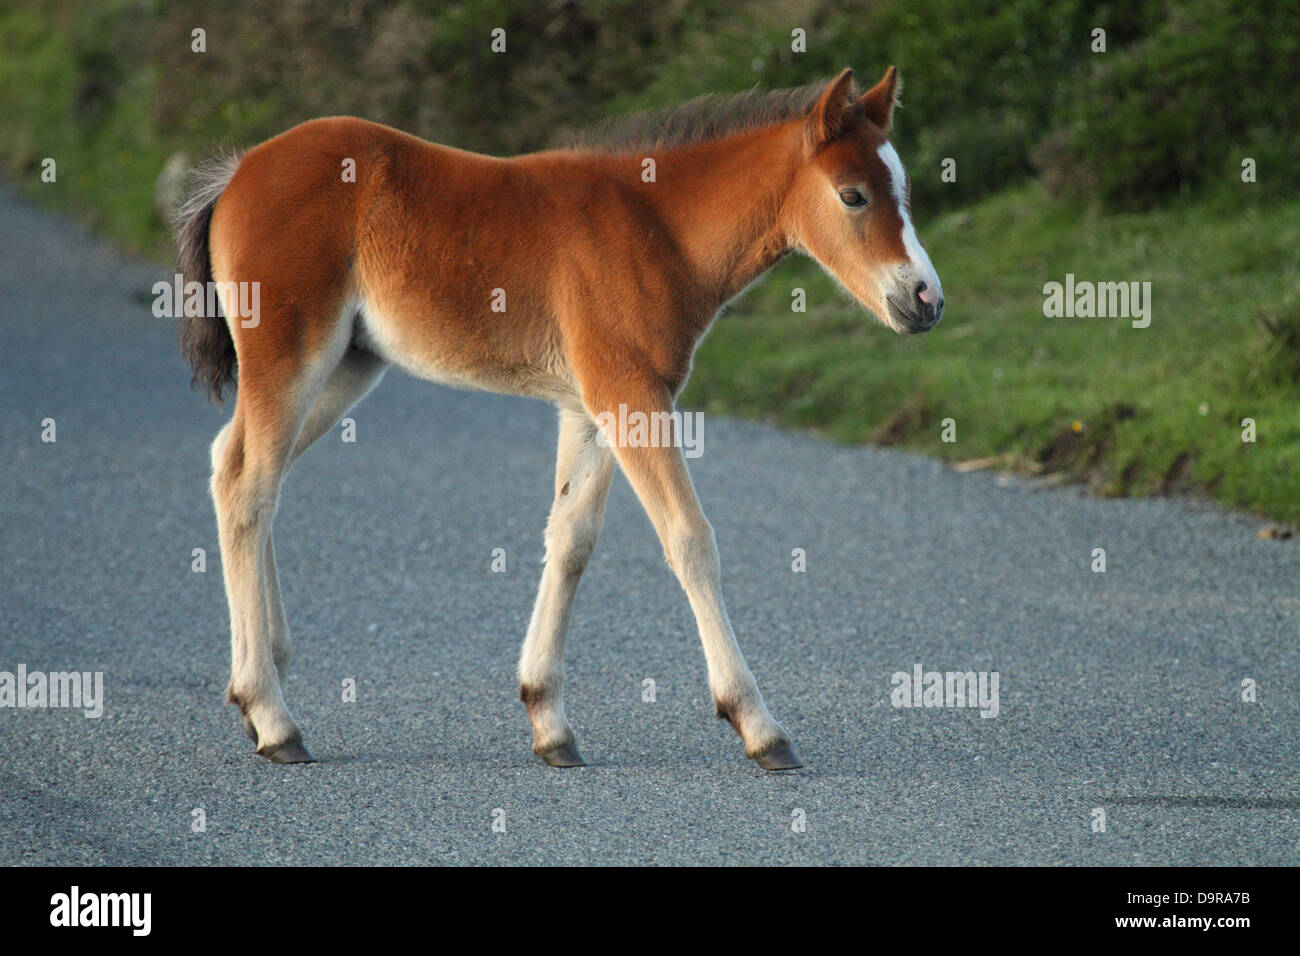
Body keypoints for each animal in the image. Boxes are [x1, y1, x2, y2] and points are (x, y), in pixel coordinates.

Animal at [175, 65, 943, 772]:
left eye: (904, 190)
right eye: (853, 195)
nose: (926, 299)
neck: (659, 229)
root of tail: (236, 173)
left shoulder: (589, 405)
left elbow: (571, 540)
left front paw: (549, 721)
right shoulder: (630, 391)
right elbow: (690, 540)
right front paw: (759, 725)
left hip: (349, 365)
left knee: (238, 467)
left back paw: (264, 677)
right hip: (291, 353)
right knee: (248, 483)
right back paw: (272, 715)